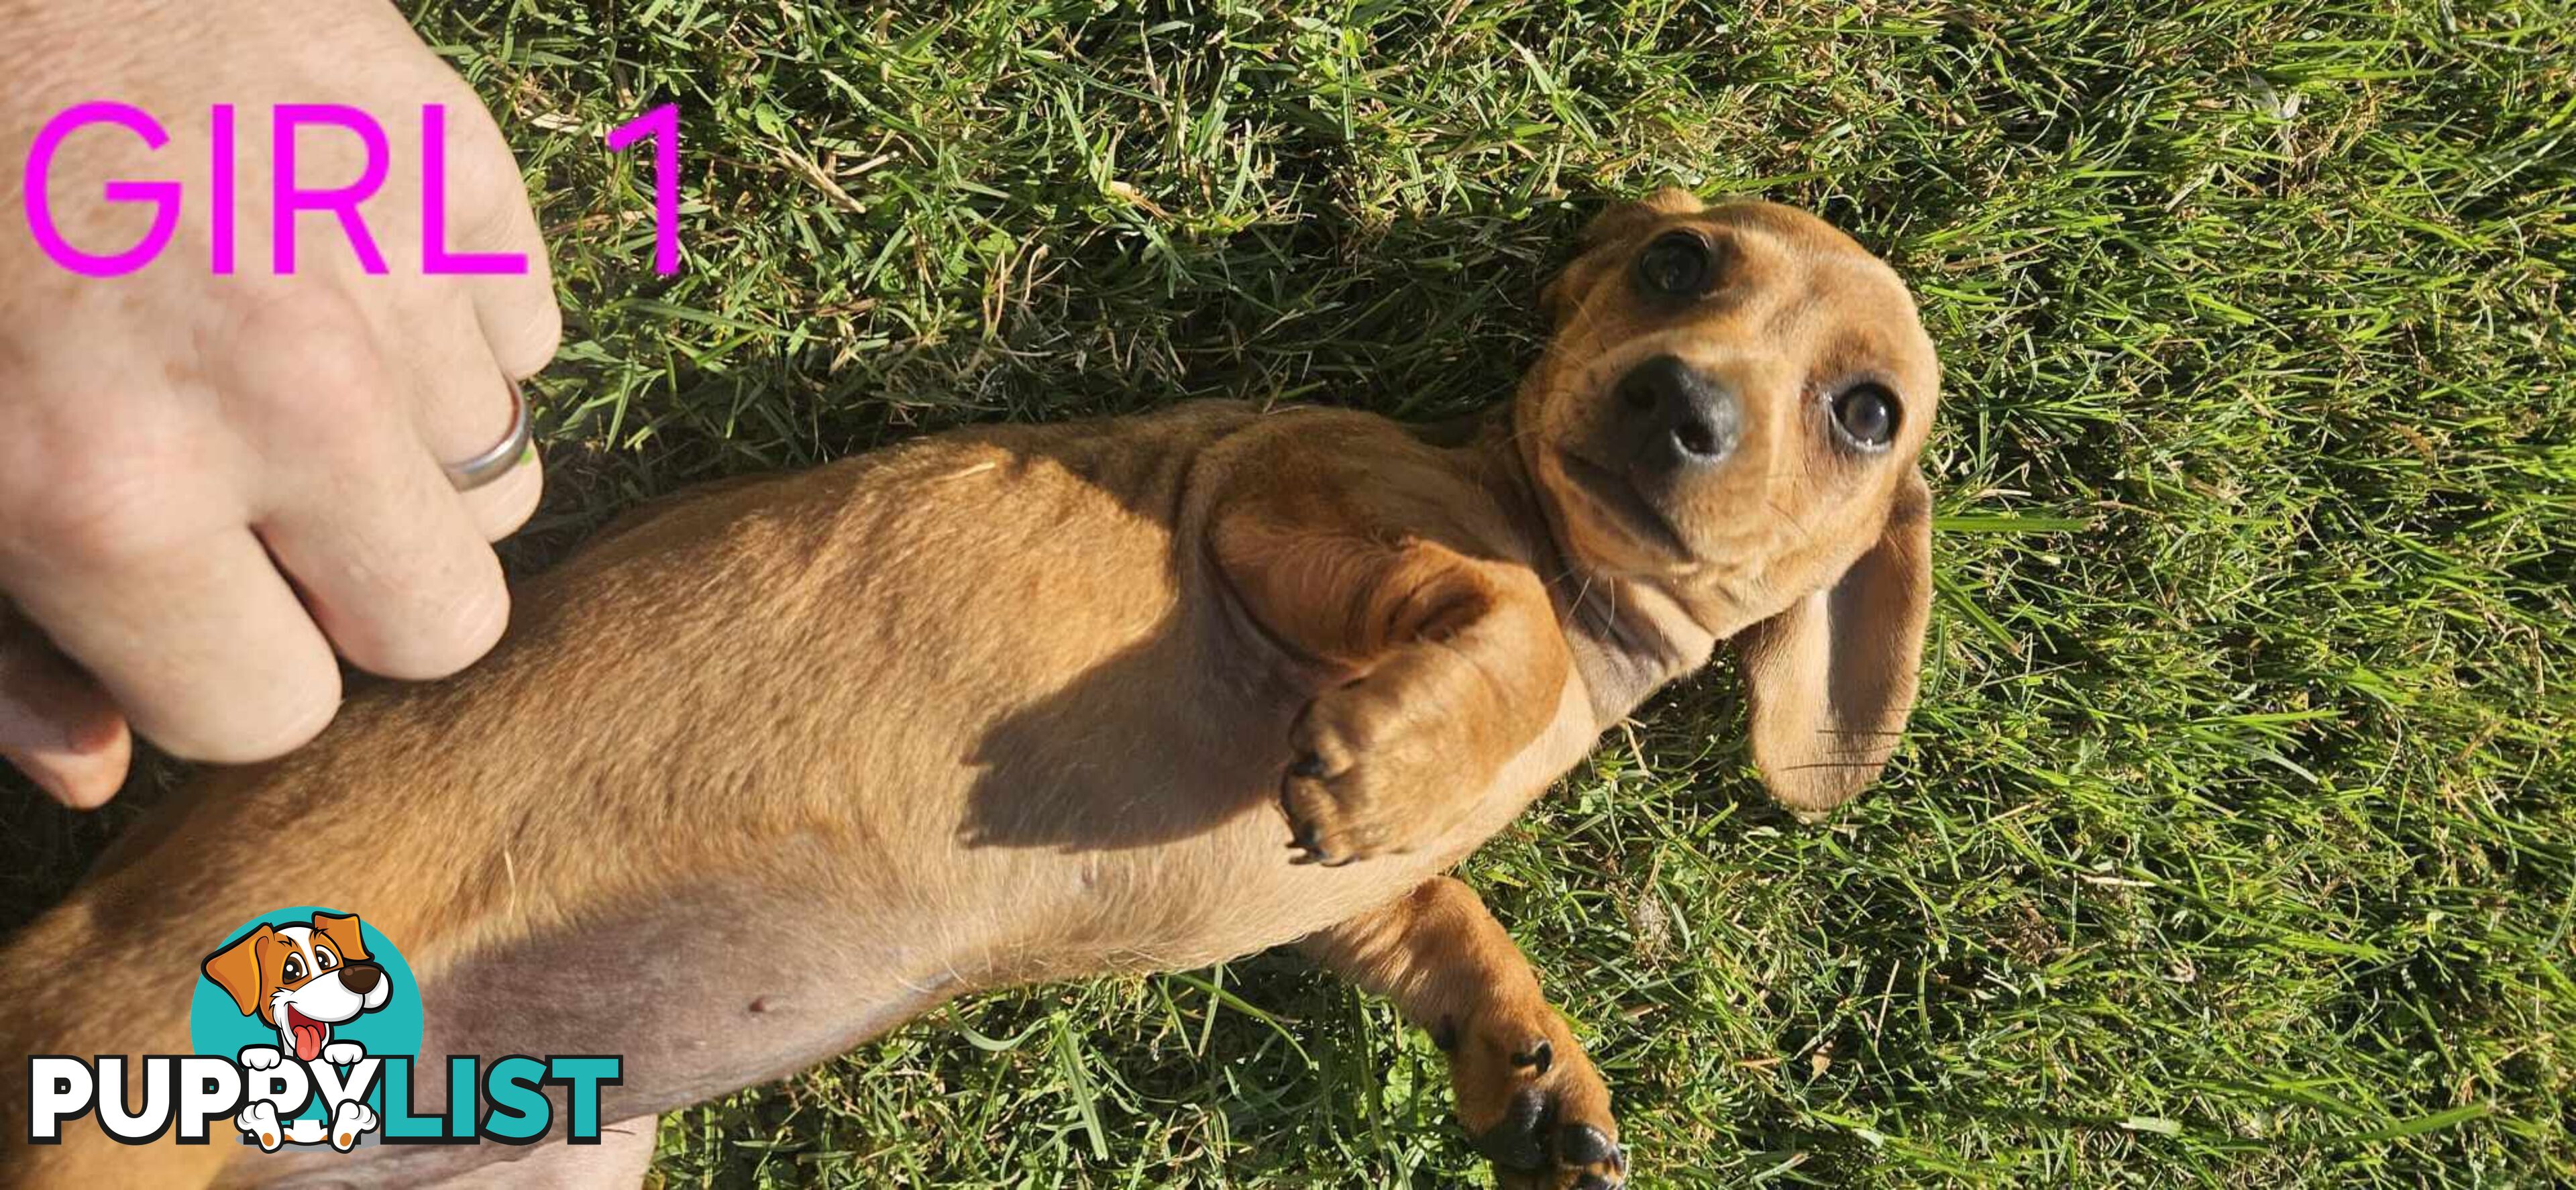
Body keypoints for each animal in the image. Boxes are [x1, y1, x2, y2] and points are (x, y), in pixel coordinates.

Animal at [0, 191, 1937, 1185]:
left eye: (1866, 409)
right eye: (1680, 263)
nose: (1676, 408)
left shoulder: (1353, 900)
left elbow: (1439, 917)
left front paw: (1533, 1064)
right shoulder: (1287, 503)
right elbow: (1502, 611)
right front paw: (1415, 741)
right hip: (121, 1081)